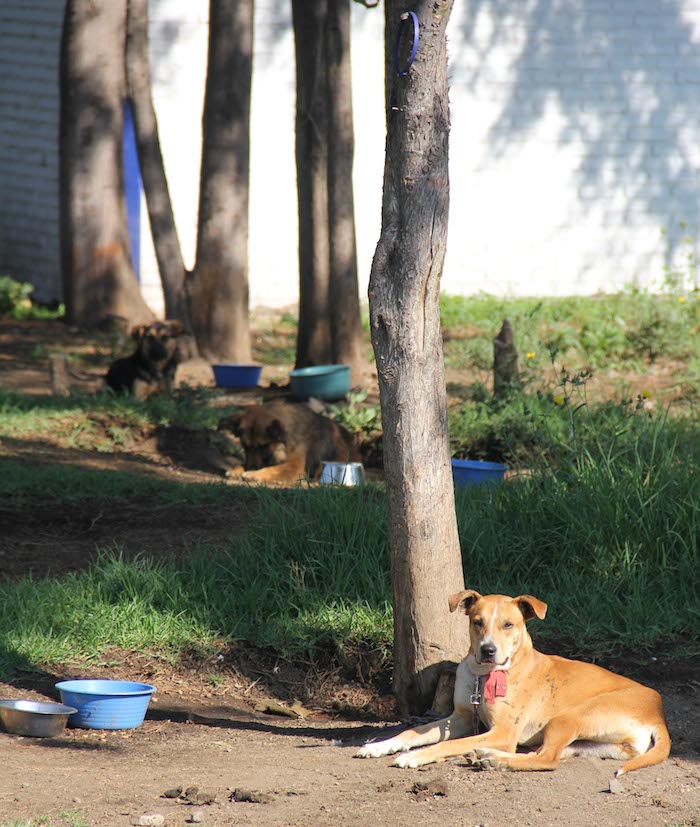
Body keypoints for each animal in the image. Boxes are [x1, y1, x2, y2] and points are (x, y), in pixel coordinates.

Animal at [219, 398, 360, 482]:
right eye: (245, 446)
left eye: (263, 446)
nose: (251, 467)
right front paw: (237, 469)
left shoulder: (295, 467)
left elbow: (274, 469)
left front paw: (254, 474)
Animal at [358, 588, 668, 776]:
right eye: (477, 622)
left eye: (509, 625)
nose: (488, 649)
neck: (484, 676)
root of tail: (658, 712)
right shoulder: (459, 718)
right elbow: (411, 732)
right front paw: (378, 746)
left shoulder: (504, 732)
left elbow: (447, 744)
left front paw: (417, 756)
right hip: (590, 742)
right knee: (551, 754)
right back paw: (484, 754)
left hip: (567, 718)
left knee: (547, 759)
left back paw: (494, 758)